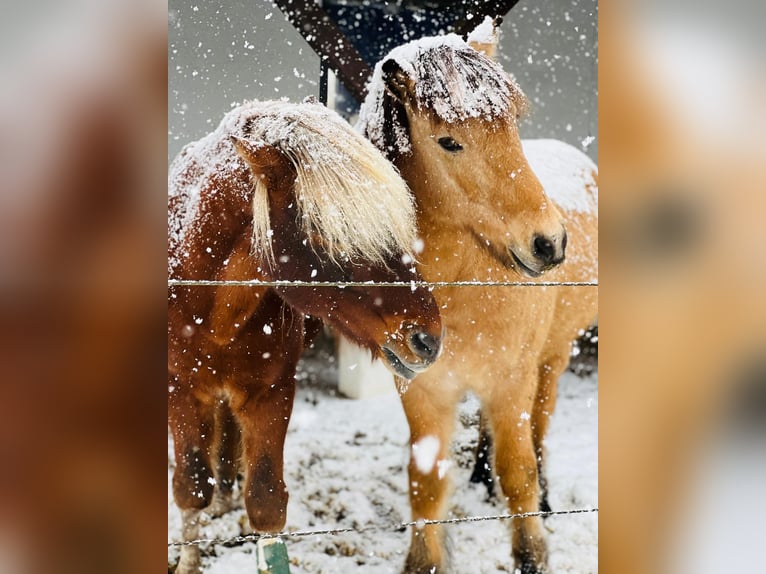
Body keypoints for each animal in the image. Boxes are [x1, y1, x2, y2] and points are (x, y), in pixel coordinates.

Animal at [168, 100, 444, 574]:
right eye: (325, 232)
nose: (429, 339)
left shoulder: (272, 392)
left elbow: (265, 500)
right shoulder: (180, 390)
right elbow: (190, 485)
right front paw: (188, 560)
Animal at [358, 27, 598, 573]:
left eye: (510, 126)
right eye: (449, 141)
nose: (549, 242)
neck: (460, 283)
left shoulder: (512, 381)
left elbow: (519, 471)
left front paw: (532, 553)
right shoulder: (423, 391)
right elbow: (426, 484)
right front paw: (423, 560)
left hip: (551, 360)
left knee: (539, 430)